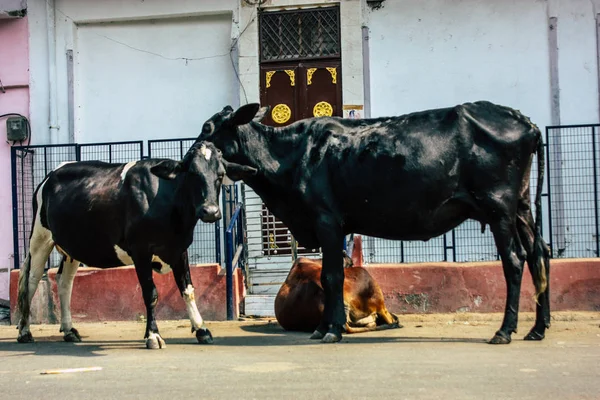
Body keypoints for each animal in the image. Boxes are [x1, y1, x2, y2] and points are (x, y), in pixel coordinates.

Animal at [17, 142, 256, 348]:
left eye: (220, 175)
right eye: (192, 174)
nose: (210, 211)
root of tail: (50, 175)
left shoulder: (179, 249)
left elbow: (187, 290)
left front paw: (201, 329)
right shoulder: (140, 250)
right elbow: (150, 294)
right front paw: (153, 335)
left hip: (72, 247)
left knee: (64, 281)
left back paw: (69, 330)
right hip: (39, 237)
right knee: (31, 280)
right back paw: (25, 331)